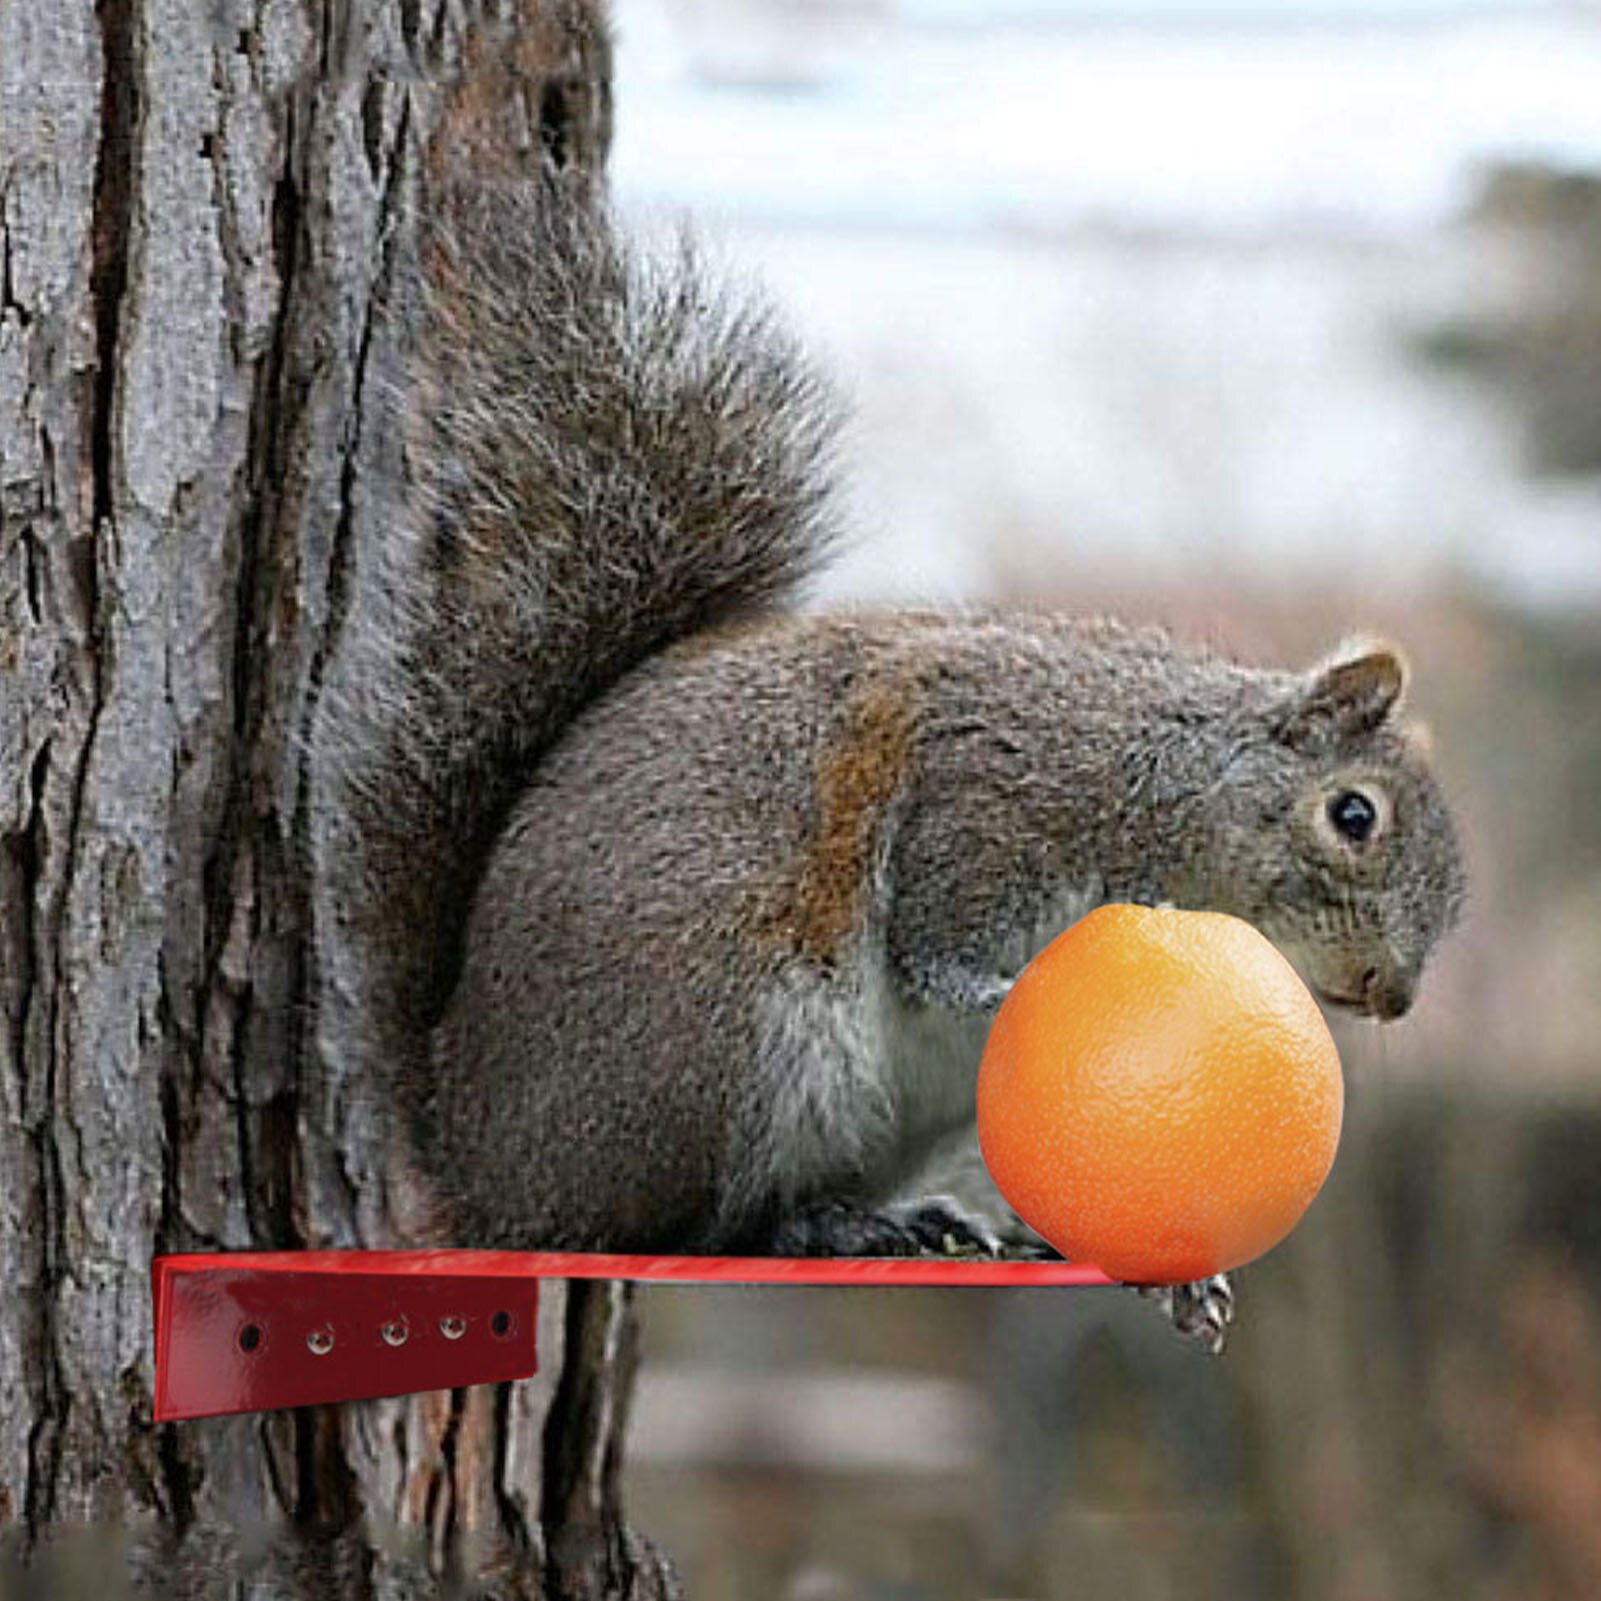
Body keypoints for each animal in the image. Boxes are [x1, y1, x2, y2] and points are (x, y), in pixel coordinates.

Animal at [312, 164, 1465, 1343]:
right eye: (1353, 815)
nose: (1388, 995)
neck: (1165, 777)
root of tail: (476, 1154)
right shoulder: (988, 795)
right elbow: (935, 935)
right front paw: (1009, 993)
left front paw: (1175, 1276)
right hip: (722, 1034)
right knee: (689, 1222)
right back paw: (810, 1227)